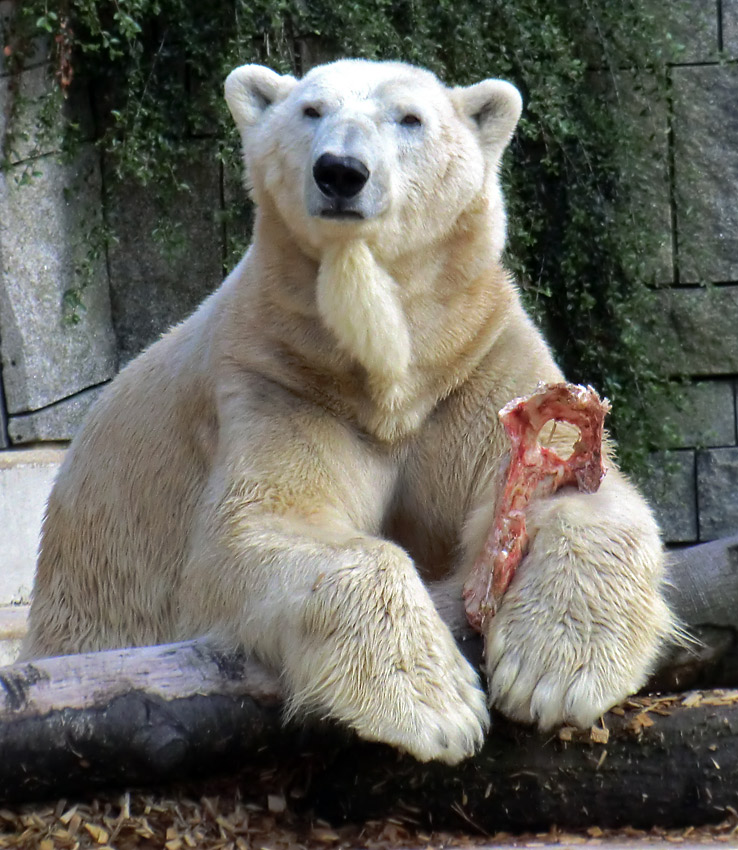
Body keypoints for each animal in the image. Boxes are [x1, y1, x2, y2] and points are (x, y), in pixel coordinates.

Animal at [21, 59, 672, 760]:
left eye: (410, 118)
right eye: (311, 111)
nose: (340, 171)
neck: (388, 373)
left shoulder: (476, 363)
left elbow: (572, 486)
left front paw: (557, 672)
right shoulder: (278, 380)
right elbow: (258, 528)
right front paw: (434, 706)